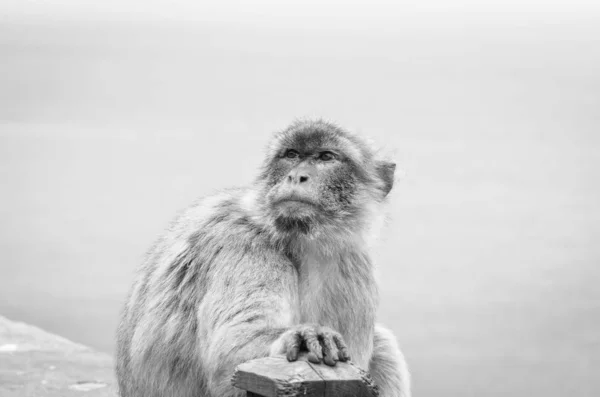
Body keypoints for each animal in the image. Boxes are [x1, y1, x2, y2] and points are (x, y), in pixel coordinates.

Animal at [115, 119, 410, 396]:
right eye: (291, 154)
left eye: (326, 157)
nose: (296, 176)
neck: (305, 243)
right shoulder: (244, 245)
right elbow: (231, 345)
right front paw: (301, 337)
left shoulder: (354, 266)